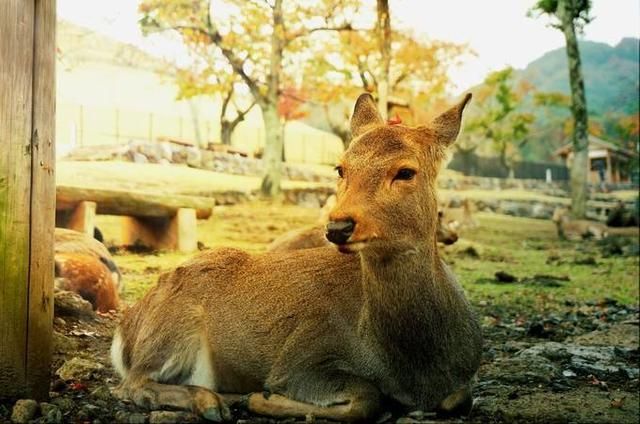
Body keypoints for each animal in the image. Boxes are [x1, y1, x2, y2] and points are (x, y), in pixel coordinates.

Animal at [111, 92, 480, 420]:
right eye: (341, 168)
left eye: (406, 171)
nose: (339, 226)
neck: (415, 370)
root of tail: (125, 330)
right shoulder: (302, 356)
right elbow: (367, 398)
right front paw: (262, 399)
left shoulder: (463, 379)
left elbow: (461, 398)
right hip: (171, 331)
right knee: (132, 384)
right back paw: (213, 404)